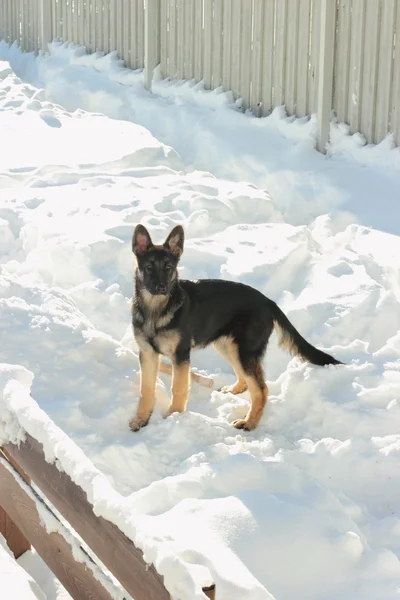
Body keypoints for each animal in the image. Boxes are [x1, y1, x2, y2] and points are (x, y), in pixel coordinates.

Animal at [130, 224, 340, 432]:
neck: (155, 310)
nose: (161, 288)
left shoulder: (180, 355)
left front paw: (175, 415)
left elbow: (179, 388)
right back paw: (235, 390)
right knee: (247, 381)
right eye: (149, 267)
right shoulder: (147, 353)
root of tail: (268, 302)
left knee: (261, 389)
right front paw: (141, 419)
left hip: (244, 350)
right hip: (229, 346)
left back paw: (249, 423)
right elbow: (145, 388)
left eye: (168, 267)